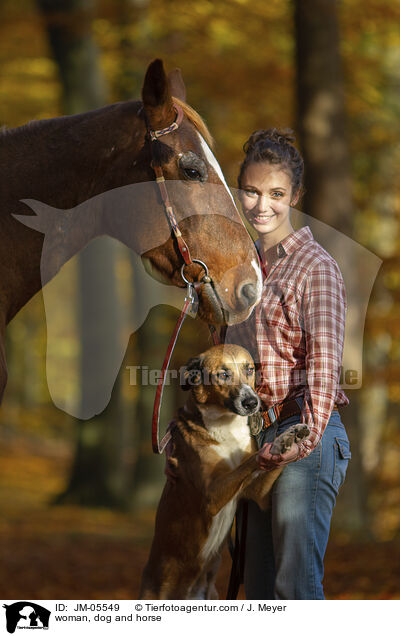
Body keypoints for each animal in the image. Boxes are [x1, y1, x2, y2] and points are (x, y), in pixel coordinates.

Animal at [141, 346, 310, 600]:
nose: (252, 402)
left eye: (249, 369)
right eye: (223, 374)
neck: (226, 426)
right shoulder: (211, 496)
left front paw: (288, 438)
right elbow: (250, 461)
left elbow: (264, 463)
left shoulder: (258, 494)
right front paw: (272, 448)